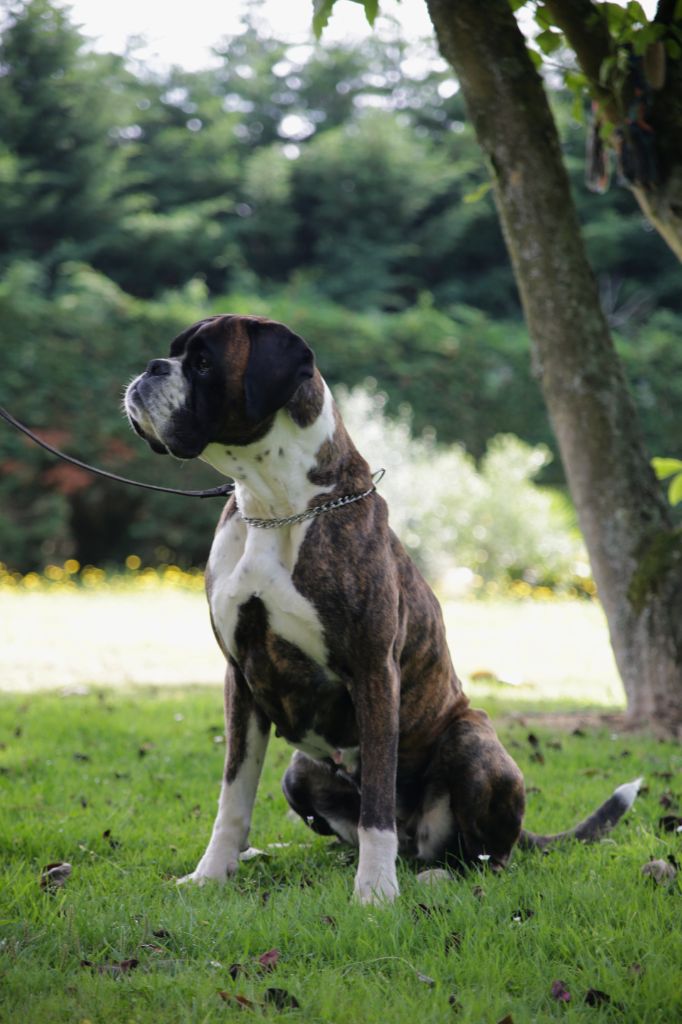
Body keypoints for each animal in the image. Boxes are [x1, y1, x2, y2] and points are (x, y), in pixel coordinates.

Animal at [124, 313, 638, 905]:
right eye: (174, 353)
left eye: (204, 363)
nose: (150, 369)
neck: (273, 505)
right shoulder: (241, 679)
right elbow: (234, 793)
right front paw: (211, 874)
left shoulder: (373, 671)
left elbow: (376, 802)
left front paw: (374, 891)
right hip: (299, 771)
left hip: (472, 742)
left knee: (485, 855)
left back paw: (435, 874)